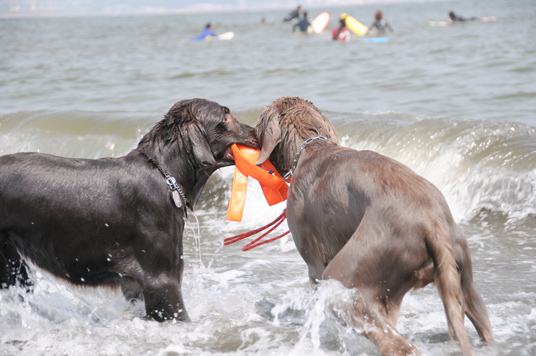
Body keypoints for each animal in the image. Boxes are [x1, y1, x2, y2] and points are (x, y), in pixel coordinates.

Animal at [255, 97, 494, 356]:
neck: (311, 147)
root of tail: (432, 224)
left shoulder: (315, 265)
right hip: (463, 277)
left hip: (347, 275)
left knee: (396, 342)